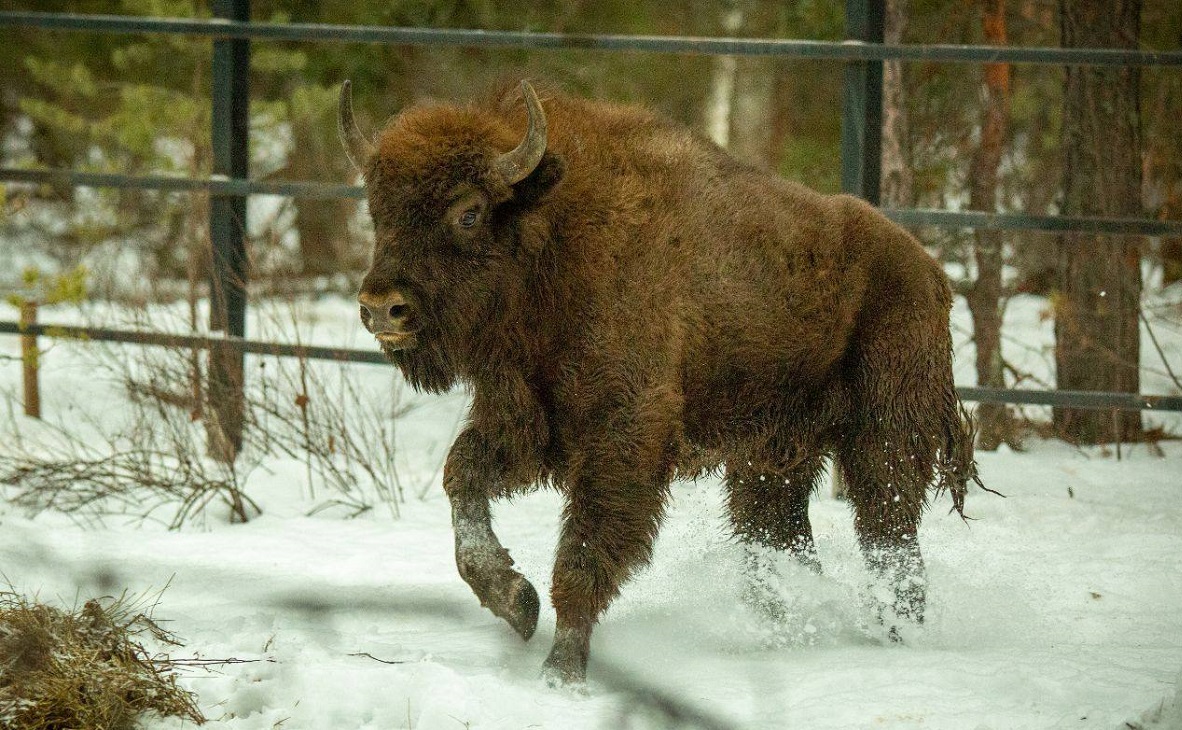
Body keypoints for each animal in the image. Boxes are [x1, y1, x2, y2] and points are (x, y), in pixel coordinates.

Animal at [340, 77, 978, 680]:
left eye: (469, 212)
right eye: (376, 210)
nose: (380, 308)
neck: (556, 235)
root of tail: (929, 271)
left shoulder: (624, 435)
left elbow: (585, 551)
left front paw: (562, 673)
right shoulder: (525, 421)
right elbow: (463, 477)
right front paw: (515, 602)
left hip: (884, 441)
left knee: (889, 538)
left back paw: (894, 636)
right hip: (770, 461)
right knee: (783, 539)